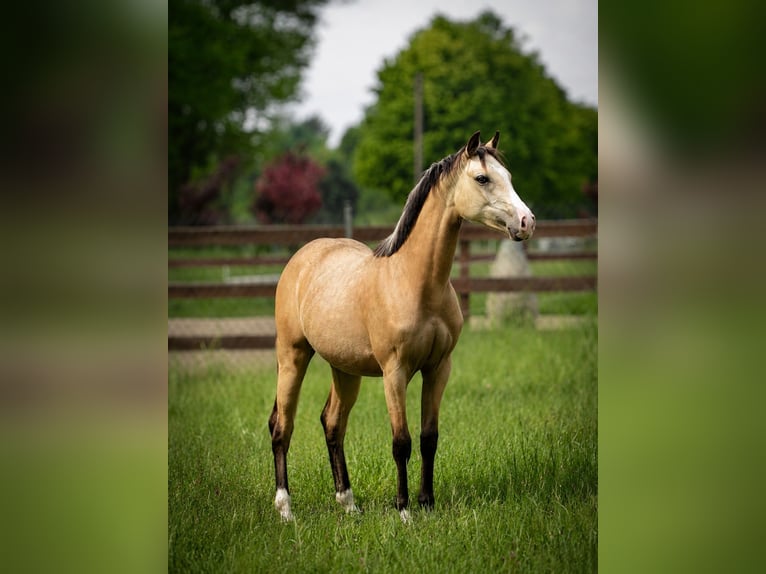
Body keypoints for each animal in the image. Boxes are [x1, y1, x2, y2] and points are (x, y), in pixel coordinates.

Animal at [268, 131, 535, 522]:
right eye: (482, 178)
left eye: (510, 176)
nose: (527, 221)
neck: (414, 282)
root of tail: (302, 257)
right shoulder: (394, 372)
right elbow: (401, 442)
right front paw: (404, 510)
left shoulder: (438, 368)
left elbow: (428, 438)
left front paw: (427, 503)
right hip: (293, 357)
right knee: (282, 426)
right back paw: (286, 509)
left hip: (344, 369)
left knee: (332, 423)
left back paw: (349, 503)